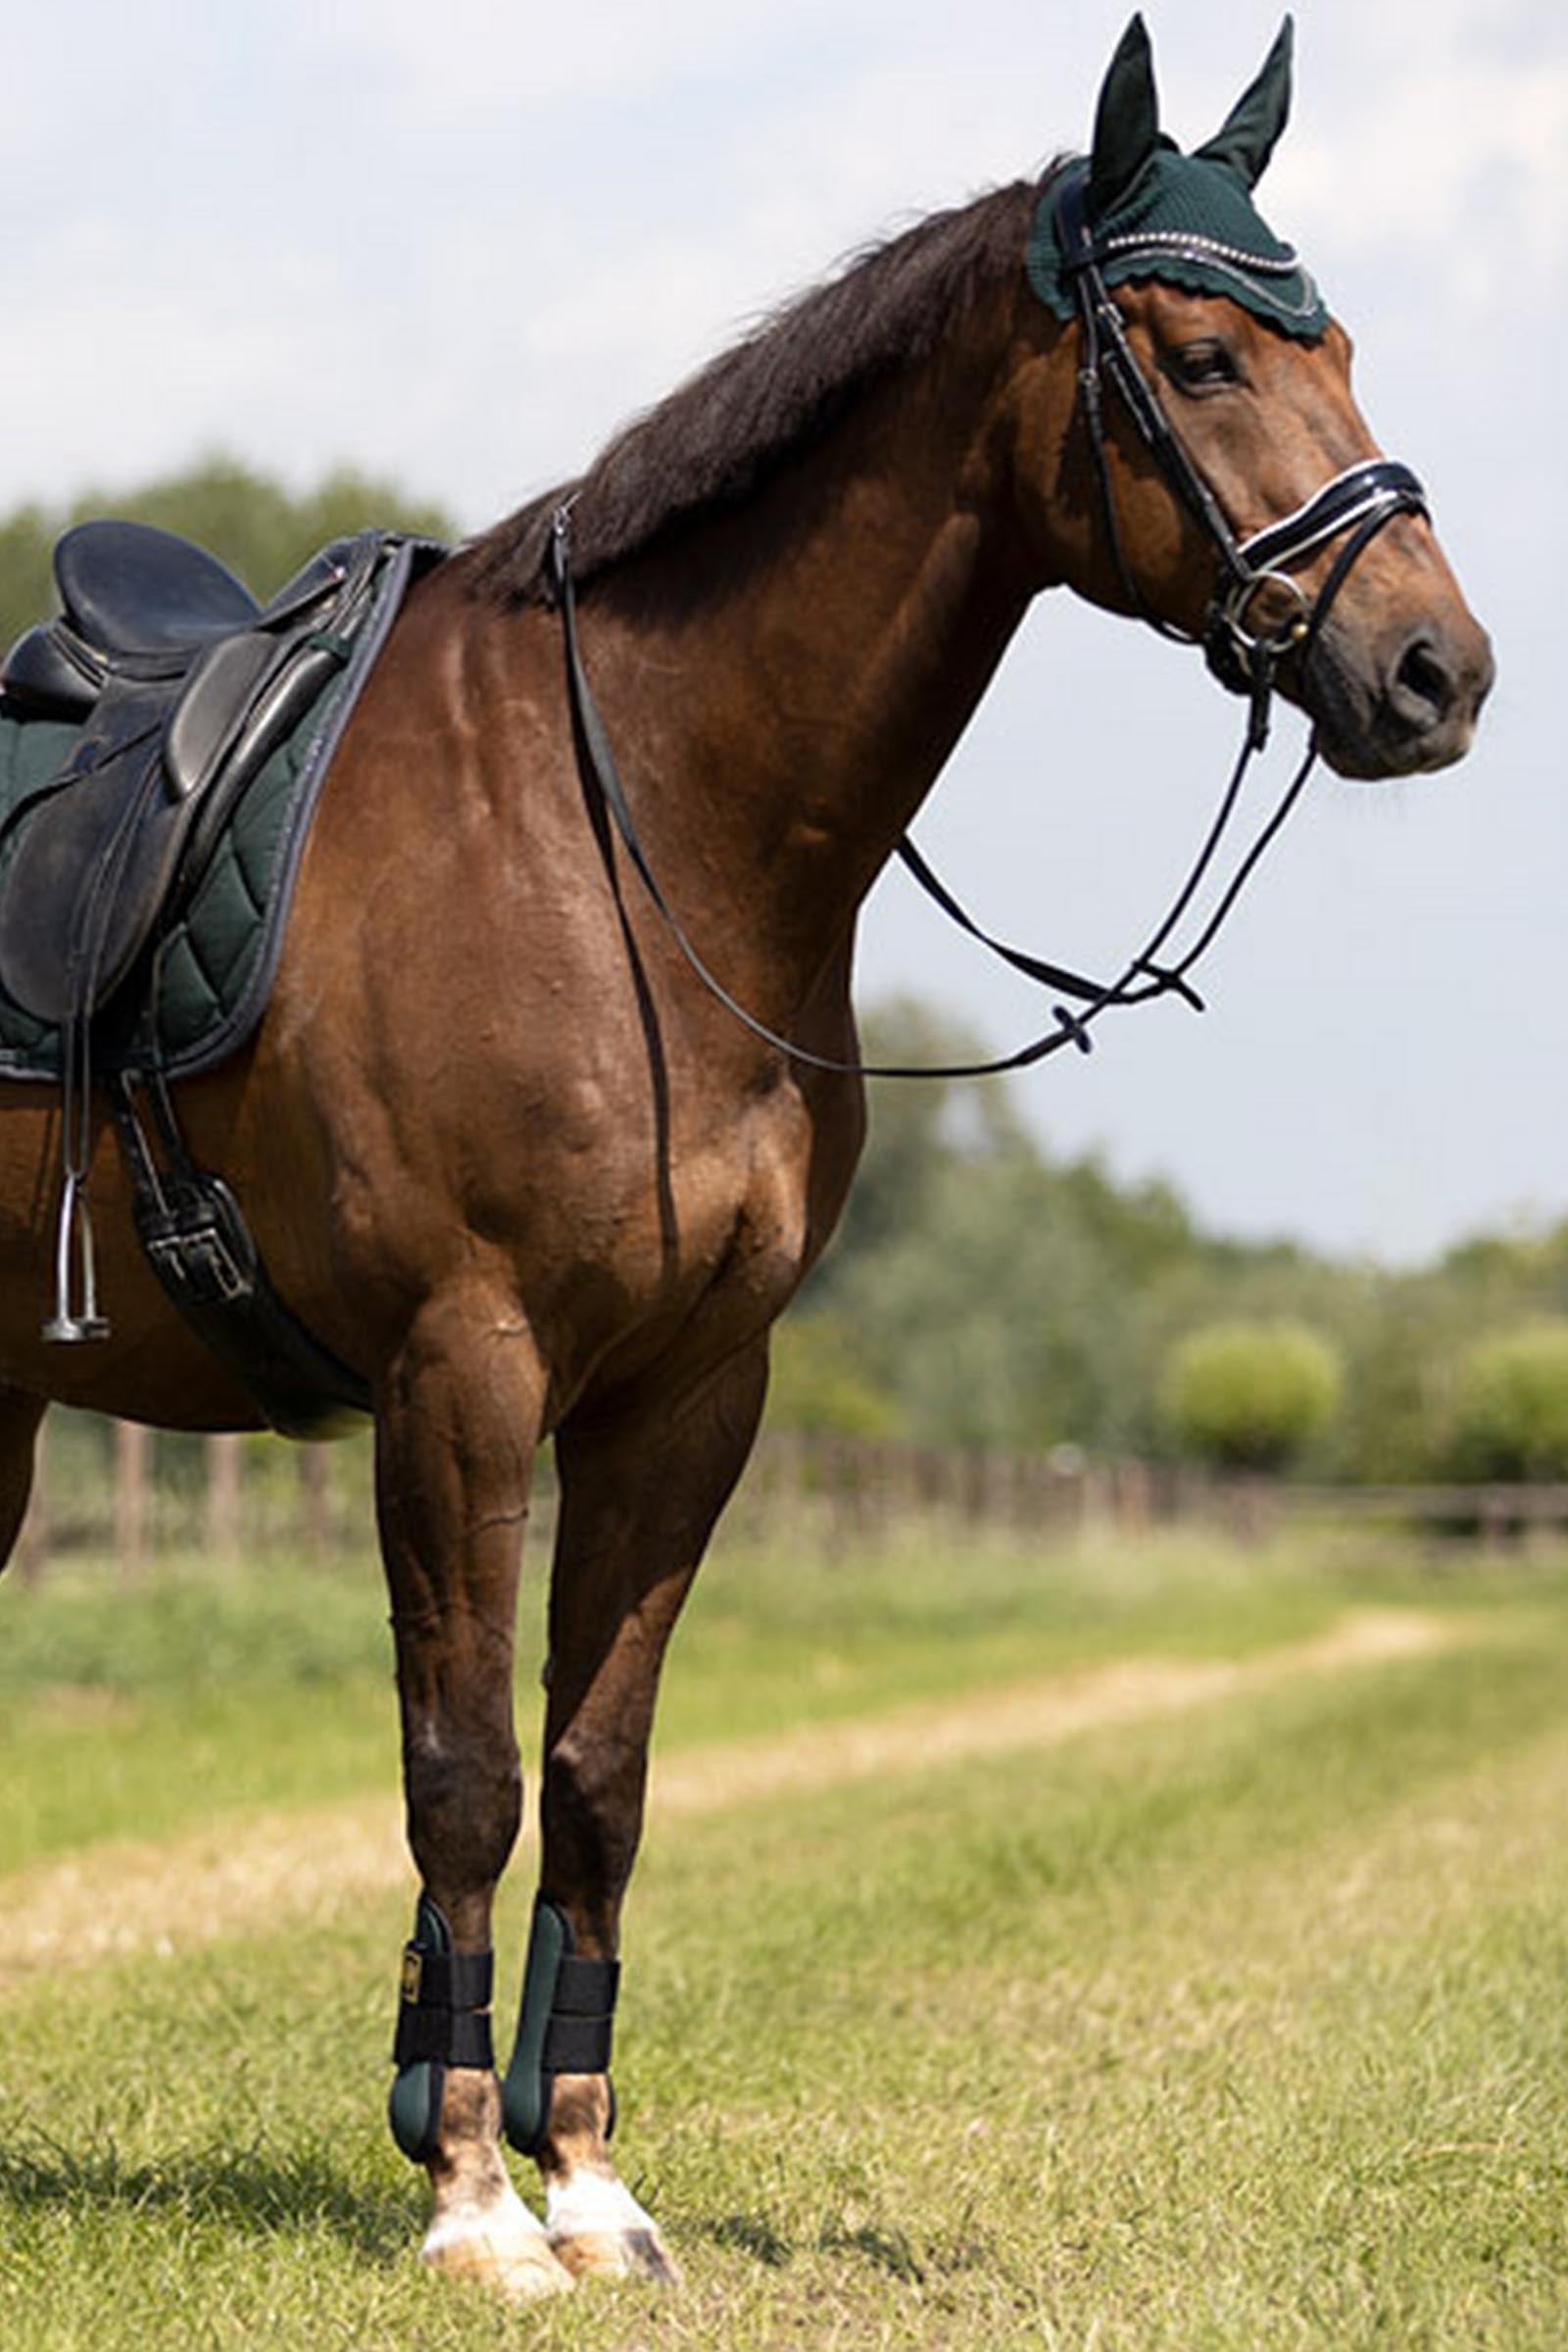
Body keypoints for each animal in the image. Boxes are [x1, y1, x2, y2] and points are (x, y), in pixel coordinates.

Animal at [0, 17, 1491, 2301]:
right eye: (1203, 358)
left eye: (1338, 340)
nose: (1434, 670)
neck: (620, 833)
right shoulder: (460, 1374)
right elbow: (464, 1773)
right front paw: (470, 2207)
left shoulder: (692, 1391)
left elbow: (599, 1774)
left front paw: (587, 2186)